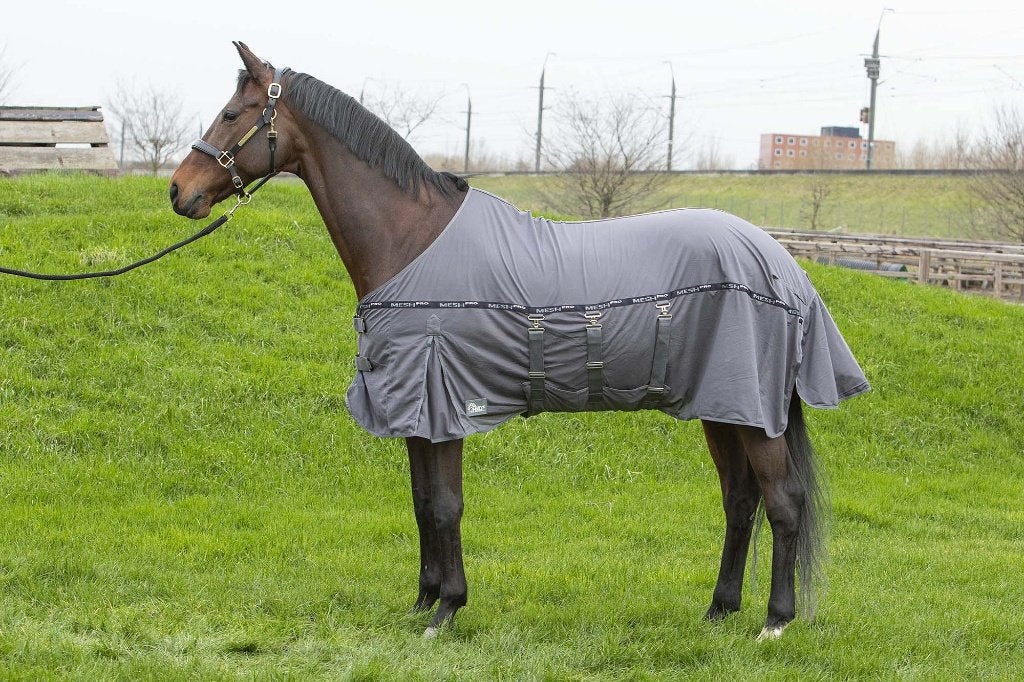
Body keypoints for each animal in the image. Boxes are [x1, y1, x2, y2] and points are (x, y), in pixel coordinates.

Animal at [169, 42, 869, 641]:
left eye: (232, 114)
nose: (180, 191)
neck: (411, 239)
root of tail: (782, 264)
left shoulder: (440, 402)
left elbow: (445, 505)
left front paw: (446, 610)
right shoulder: (416, 409)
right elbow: (421, 502)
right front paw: (423, 600)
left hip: (752, 411)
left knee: (783, 502)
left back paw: (774, 620)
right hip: (723, 407)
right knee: (740, 501)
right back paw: (719, 610)